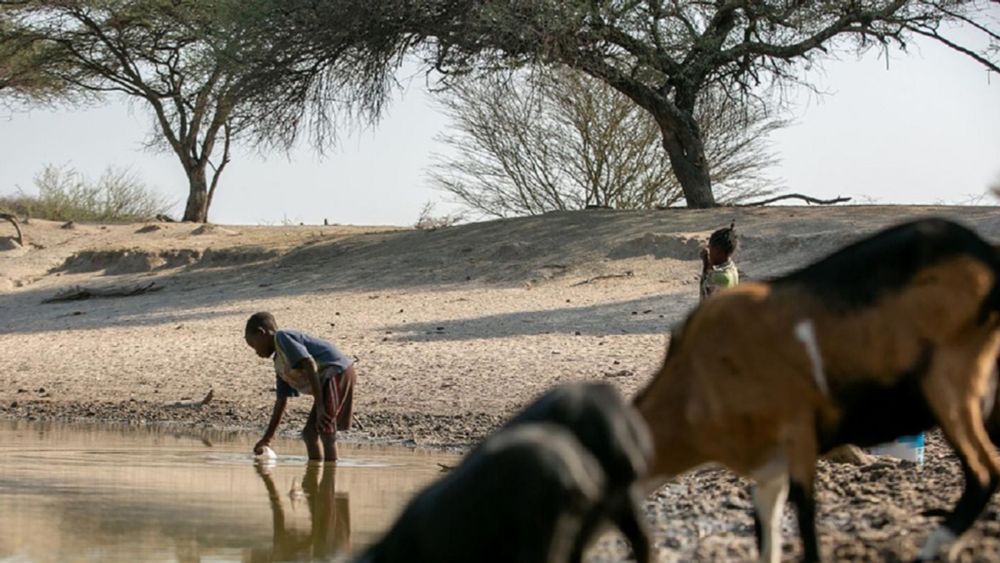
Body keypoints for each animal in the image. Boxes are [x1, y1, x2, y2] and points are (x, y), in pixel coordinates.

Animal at [636, 219, 1000, 563]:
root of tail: (983, 254)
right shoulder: (770, 466)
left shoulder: (796, 433)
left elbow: (805, 516)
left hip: (947, 385)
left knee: (984, 471)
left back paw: (934, 546)